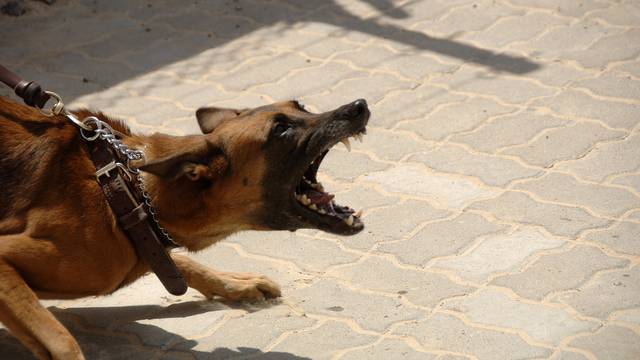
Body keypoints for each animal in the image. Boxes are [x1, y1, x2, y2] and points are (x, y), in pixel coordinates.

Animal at [0, 96, 370, 360]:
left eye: (302, 107)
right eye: (280, 130)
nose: (359, 107)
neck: (125, 191)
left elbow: (180, 262)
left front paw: (235, 282)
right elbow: (62, 342)